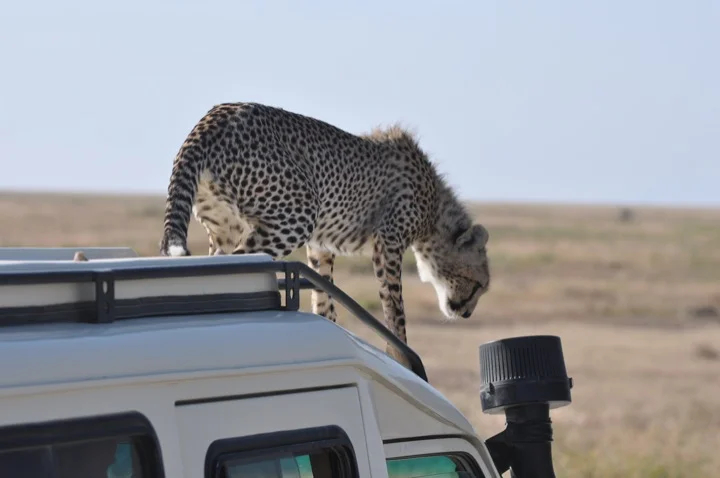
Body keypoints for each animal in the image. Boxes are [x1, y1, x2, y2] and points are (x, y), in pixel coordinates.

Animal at [159, 102, 491, 368]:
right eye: (478, 285)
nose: (466, 314)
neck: (436, 215)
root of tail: (217, 114)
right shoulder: (388, 243)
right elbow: (394, 309)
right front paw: (402, 356)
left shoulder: (320, 245)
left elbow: (323, 295)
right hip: (297, 215)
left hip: (227, 229)